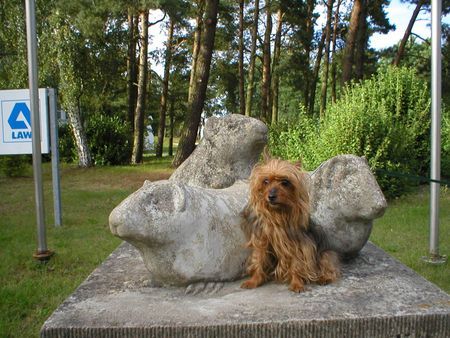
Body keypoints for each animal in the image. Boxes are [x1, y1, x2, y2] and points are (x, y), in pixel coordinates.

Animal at [241, 157, 340, 292]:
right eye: (265, 181)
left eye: (285, 182)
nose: (271, 196)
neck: (277, 213)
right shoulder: (261, 240)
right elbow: (258, 260)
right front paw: (253, 281)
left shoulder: (298, 244)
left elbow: (296, 264)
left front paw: (297, 283)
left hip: (325, 253)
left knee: (328, 265)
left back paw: (324, 278)